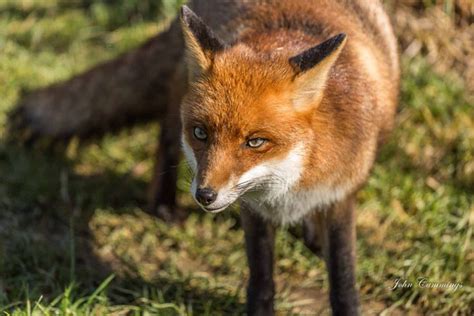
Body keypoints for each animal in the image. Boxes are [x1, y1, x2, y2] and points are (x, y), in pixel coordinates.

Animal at [9, 0, 398, 314]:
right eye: (200, 134)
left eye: (255, 142)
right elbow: (261, 279)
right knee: (166, 135)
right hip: (179, 88)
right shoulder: (253, 209)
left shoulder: (340, 198)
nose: (205, 196)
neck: (290, 181)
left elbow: (343, 278)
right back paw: (163, 205)